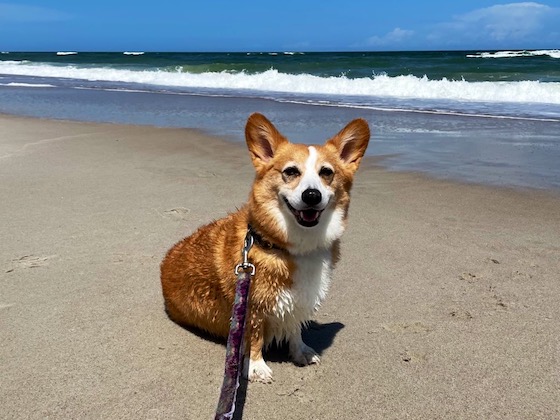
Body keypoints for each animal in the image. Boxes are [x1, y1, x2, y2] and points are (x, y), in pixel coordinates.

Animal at [160, 113, 370, 382]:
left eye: (326, 173)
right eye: (291, 171)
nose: (312, 195)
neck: (285, 245)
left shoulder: (299, 300)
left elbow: (295, 326)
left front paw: (300, 351)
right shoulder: (253, 308)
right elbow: (256, 337)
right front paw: (256, 367)